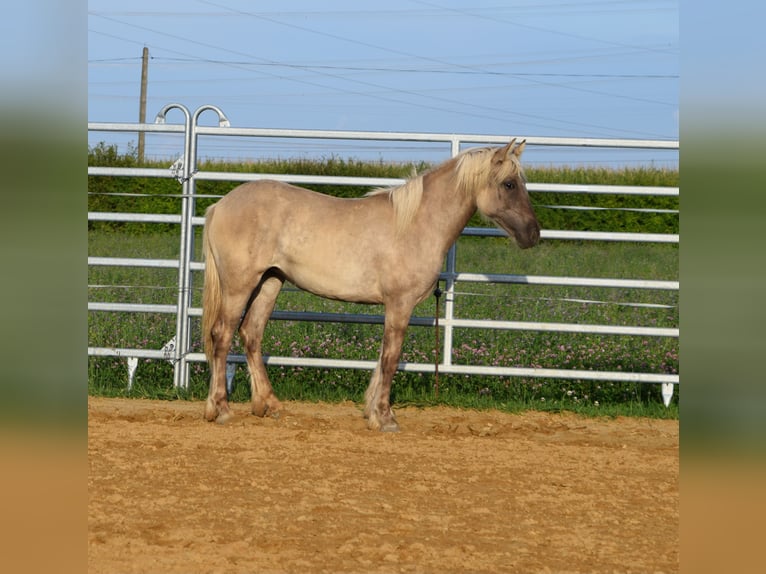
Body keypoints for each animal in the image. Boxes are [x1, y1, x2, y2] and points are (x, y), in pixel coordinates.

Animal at [201, 140, 544, 432]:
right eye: (509, 184)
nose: (533, 234)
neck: (416, 224)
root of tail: (219, 206)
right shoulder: (399, 304)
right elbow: (390, 359)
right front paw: (385, 417)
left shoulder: (393, 307)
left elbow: (382, 357)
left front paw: (373, 412)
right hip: (239, 285)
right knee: (222, 335)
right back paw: (220, 409)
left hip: (270, 281)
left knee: (251, 334)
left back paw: (268, 405)